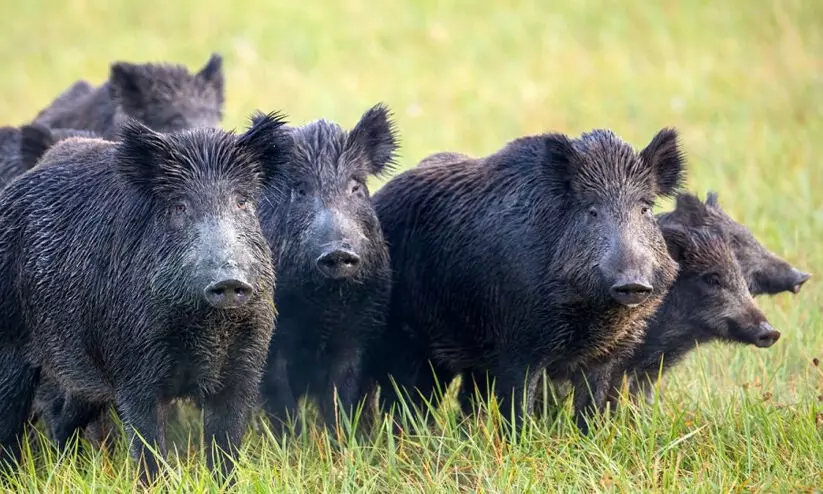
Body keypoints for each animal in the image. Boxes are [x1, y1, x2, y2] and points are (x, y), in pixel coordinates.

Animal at [0, 113, 291, 482]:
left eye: (242, 202)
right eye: (179, 206)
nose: (229, 280)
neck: (206, 327)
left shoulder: (244, 367)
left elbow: (225, 448)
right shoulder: (134, 370)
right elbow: (149, 448)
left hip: (79, 378)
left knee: (62, 419)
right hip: (10, 349)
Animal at [257, 104, 396, 434]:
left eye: (356, 186)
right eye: (300, 190)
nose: (338, 251)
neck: (325, 305)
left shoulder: (359, 332)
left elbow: (341, 396)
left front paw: (343, 440)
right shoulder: (272, 343)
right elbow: (280, 400)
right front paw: (293, 442)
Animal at [367, 128, 686, 424]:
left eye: (645, 208)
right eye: (591, 210)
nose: (633, 283)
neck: (592, 313)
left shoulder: (605, 355)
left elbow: (590, 411)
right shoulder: (518, 345)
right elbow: (519, 410)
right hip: (405, 341)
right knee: (405, 400)